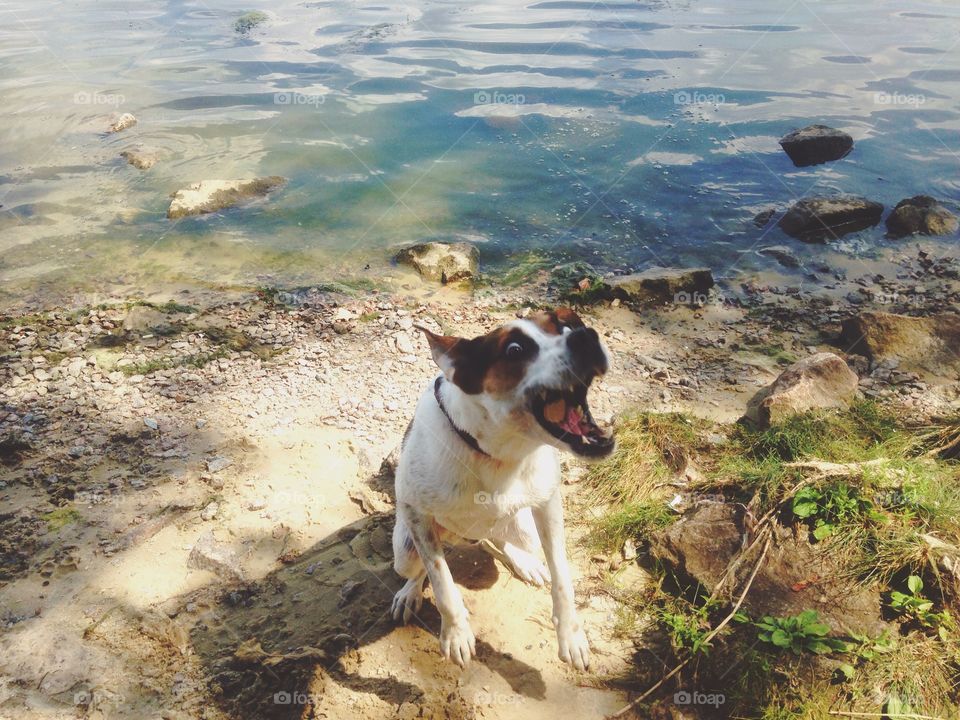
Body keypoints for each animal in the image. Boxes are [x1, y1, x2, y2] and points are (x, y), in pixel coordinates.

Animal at [390, 308, 616, 668]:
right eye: (514, 350)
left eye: (568, 326)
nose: (586, 337)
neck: (497, 455)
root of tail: (464, 539)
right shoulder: (416, 512)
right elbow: (442, 583)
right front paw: (456, 634)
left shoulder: (548, 503)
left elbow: (563, 578)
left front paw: (571, 637)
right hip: (405, 551)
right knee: (418, 569)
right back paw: (409, 594)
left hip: (525, 529)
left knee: (500, 540)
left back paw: (525, 562)